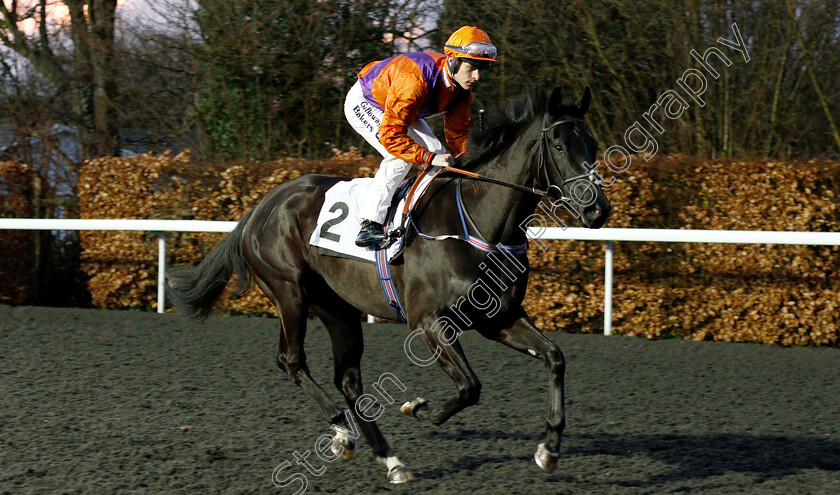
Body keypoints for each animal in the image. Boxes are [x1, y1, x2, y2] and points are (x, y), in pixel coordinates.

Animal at [166, 85, 612, 484]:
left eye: (591, 143)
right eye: (559, 145)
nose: (598, 210)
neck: (478, 222)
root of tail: (263, 204)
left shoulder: (498, 317)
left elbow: (554, 357)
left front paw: (549, 449)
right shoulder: (429, 321)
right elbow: (470, 387)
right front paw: (415, 407)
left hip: (337, 308)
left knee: (347, 379)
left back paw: (389, 459)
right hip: (289, 292)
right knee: (291, 361)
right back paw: (341, 431)